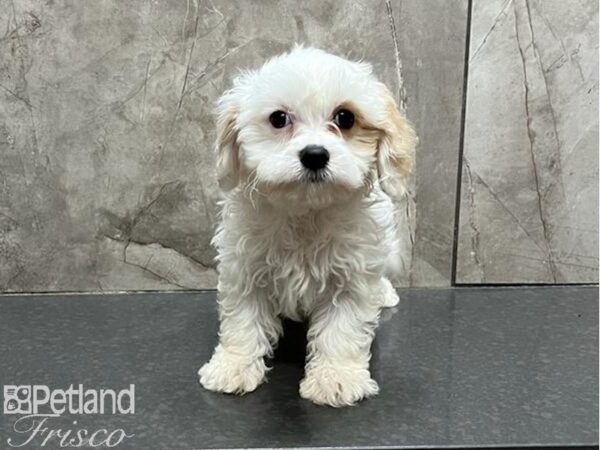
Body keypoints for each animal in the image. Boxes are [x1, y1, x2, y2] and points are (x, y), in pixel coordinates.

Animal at [199, 46, 414, 408]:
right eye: (278, 119)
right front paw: (233, 366)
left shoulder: (352, 277)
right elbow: (242, 321)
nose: (315, 154)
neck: (305, 212)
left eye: (345, 118)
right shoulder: (244, 267)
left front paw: (336, 378)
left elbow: (342, 330)